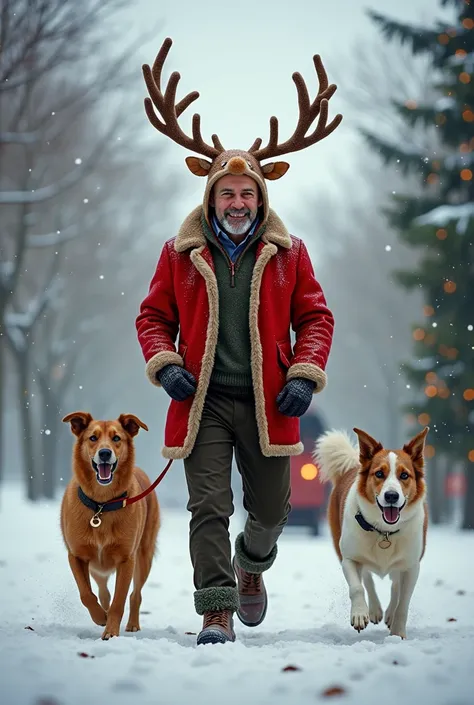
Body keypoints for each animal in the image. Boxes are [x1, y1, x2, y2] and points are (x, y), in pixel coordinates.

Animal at [60, 412, 160, 640]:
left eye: (116, 438)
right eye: (93, 438)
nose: (105, 453)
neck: (102, 505)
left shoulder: (127, 560)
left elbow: (119, 601)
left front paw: (111, 632)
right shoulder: (76, 556)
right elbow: (86, 594)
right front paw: (100, 618)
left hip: (144, 557)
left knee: (135, 595)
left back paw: (132, 624)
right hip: (97, 568)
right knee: (103, 590)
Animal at [314, 424, 430, 640]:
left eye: (404, 475)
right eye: (379, 474)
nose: (391, 496)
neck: (384, 531)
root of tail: (352, 466)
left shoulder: (412, 566)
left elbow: (403, 602)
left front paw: (398, 633)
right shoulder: (349, 558)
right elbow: (357, 587)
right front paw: (360, 614)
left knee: (395, 585)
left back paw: (389, 614)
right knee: (367, 578)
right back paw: (374, 610)